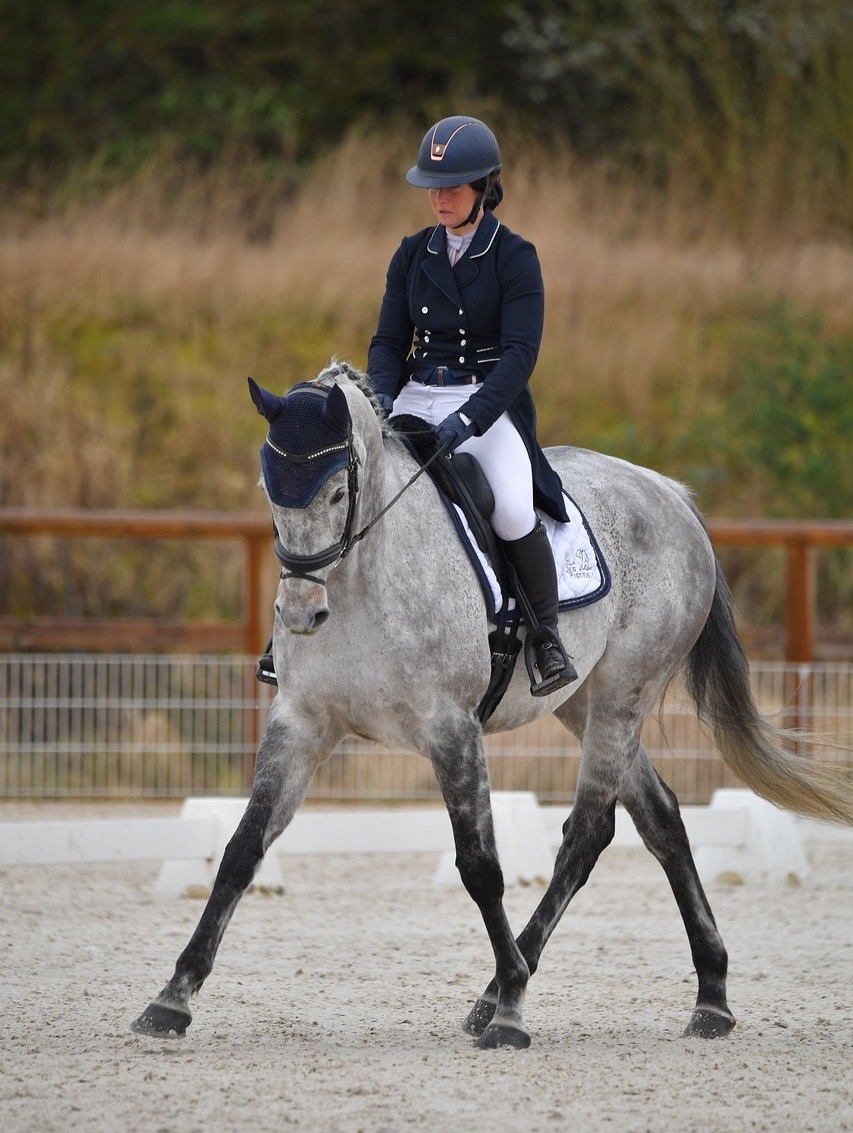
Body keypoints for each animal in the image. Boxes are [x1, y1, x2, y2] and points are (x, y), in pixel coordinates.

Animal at [131, 362, 851, 1051]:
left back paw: (504, 995)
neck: (364, 573)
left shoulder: (450, 728)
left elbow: (480, 866)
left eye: (337, 492)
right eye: (270, 493)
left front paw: (511, 1008)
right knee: (660, 818)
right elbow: (241, 849)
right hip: (581, 701)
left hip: (624, 691)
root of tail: (667, 492)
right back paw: (710, 997)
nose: (301, 613)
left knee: (587, 833)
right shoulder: (302, 723)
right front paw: (171, 998)